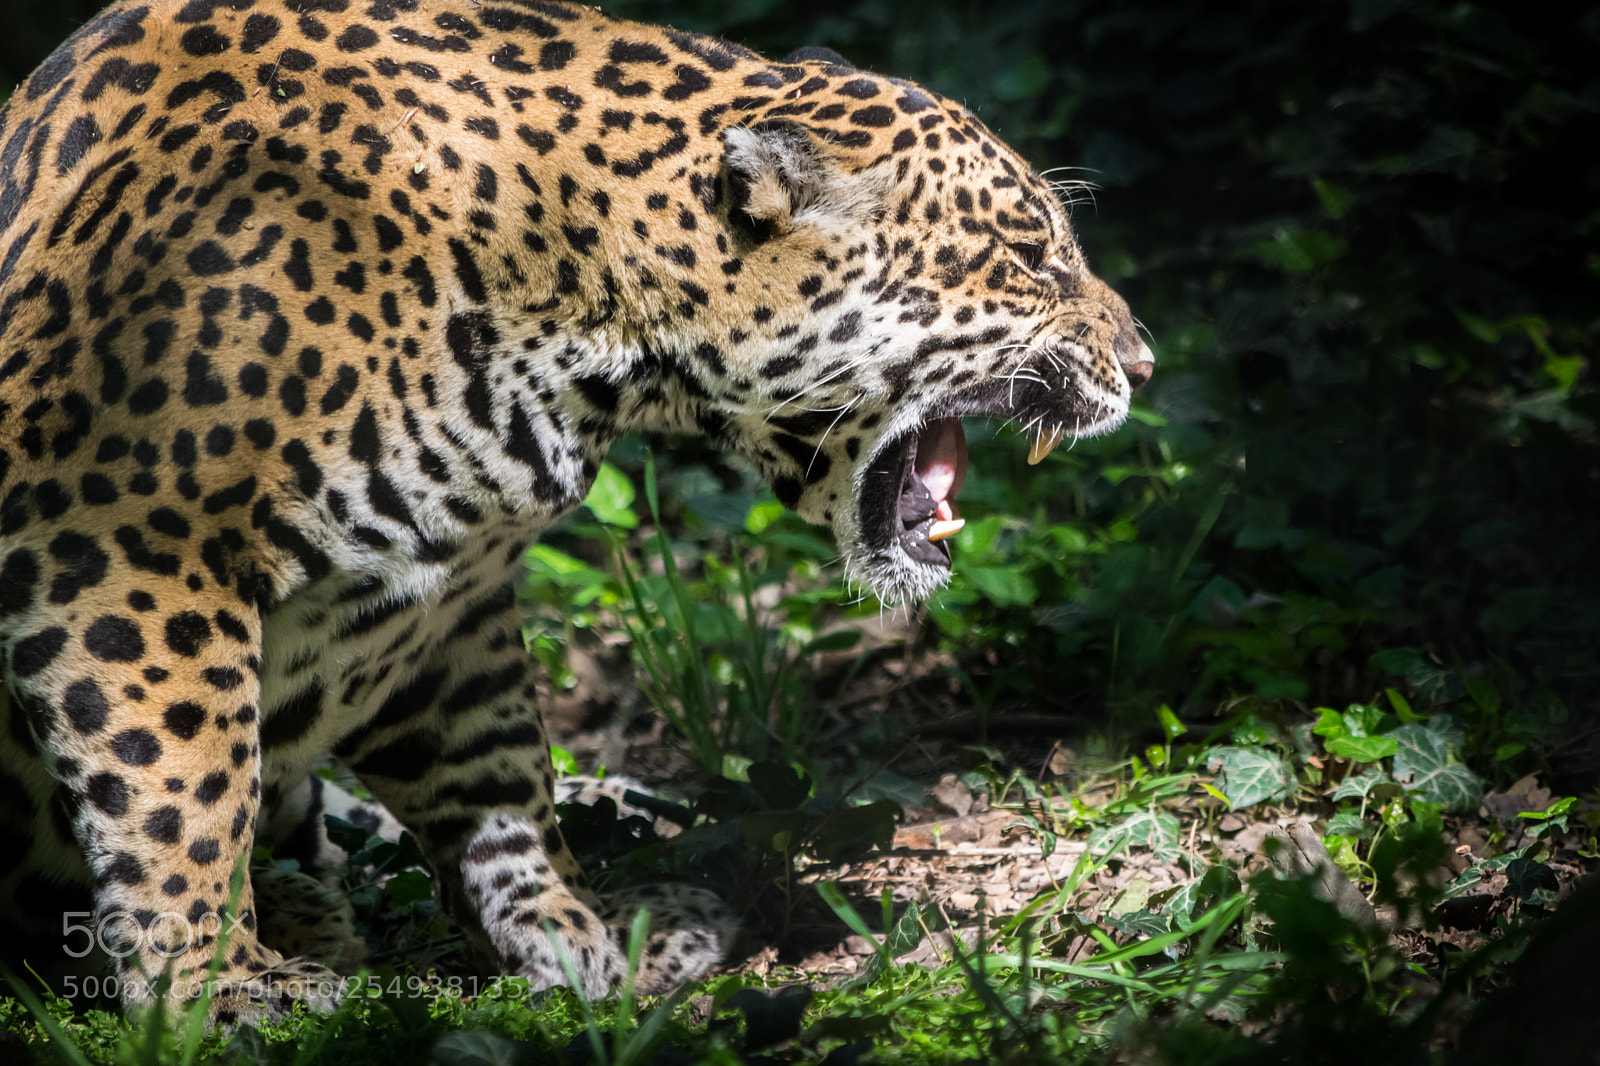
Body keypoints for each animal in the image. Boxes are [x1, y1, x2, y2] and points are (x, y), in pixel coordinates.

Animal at [0, 0, 1153, 1025]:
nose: (1143, 363)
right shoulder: (127, 548)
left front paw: (581, 935)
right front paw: (216, 989)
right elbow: (184, 798)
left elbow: (499, 777)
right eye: (1031, 256)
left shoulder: (448, 606)